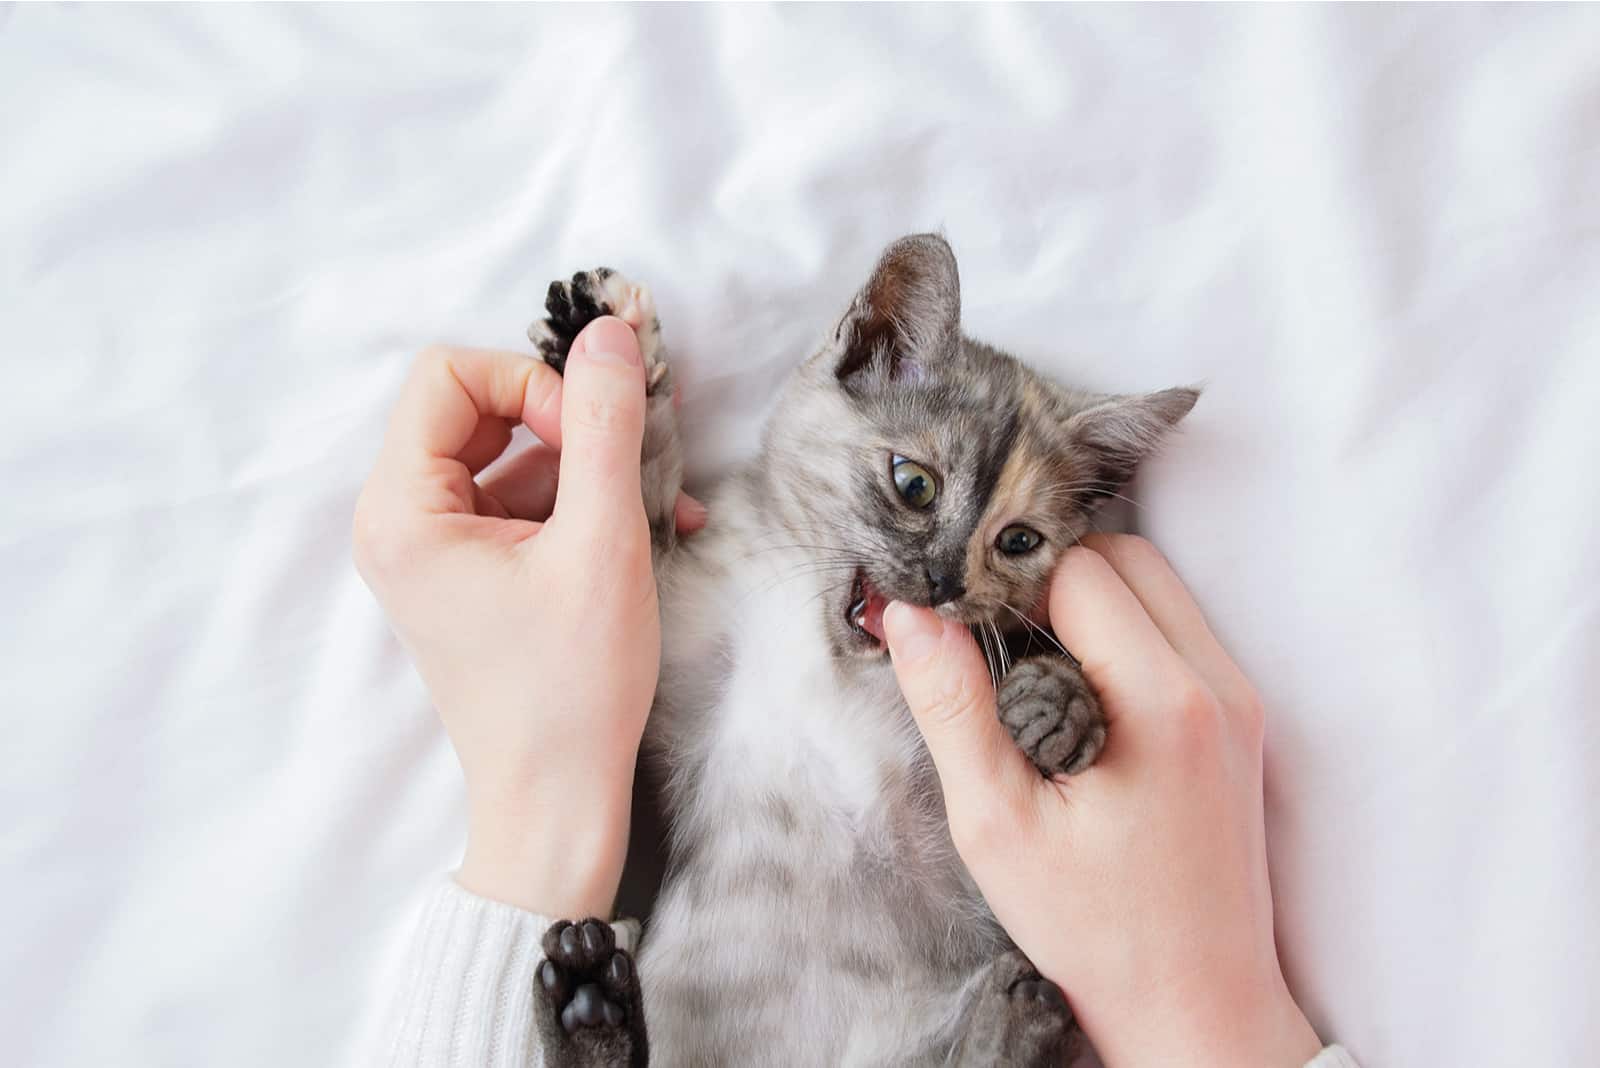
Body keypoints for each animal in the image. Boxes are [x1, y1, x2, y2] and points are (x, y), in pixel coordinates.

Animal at [528, 238, 1203, 1061]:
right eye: (914, 485)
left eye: (1018, 541)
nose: (943, 580)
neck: (833, 663)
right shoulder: (678, 659)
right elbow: (643, 496)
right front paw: (602, 330)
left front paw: (1057, 703)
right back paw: (588, 1010)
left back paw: (1014, 1024)